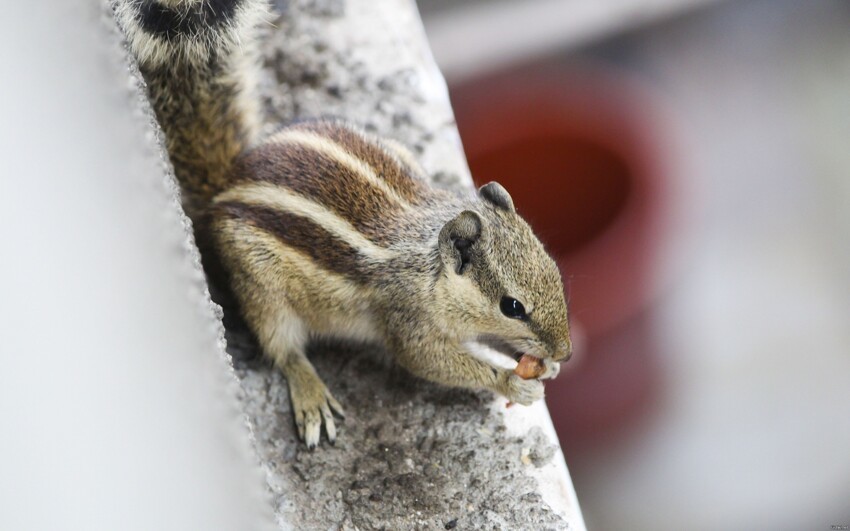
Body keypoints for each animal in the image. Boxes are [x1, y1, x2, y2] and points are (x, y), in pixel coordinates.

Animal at [112, 0, 572, 448]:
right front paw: (512, 382)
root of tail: (226, 185)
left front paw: (540, 366)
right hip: (261, 286)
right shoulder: (408, 320)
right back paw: (311, 394)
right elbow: (429, 360)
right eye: (512, 306)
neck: (430, 266)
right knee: (282, 348)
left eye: (554, 271)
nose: (565, 352)